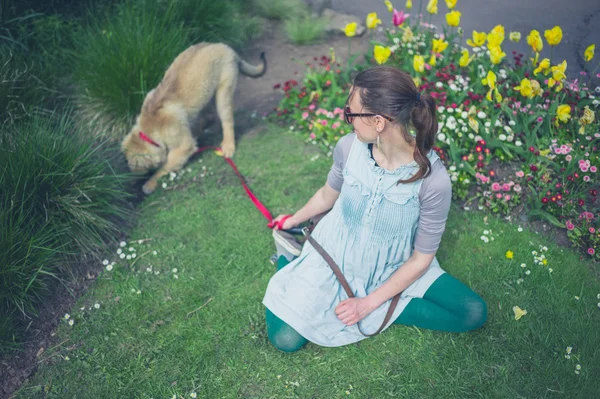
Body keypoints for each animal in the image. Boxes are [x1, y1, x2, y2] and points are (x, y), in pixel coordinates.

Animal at [120, 41, 266, 194]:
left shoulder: (183, 146)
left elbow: (164, 167)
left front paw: (149, 183)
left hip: (223, 93)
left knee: (227, 122)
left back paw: (228, 145)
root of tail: (224, 46)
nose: (132, 179)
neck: (149, 128)